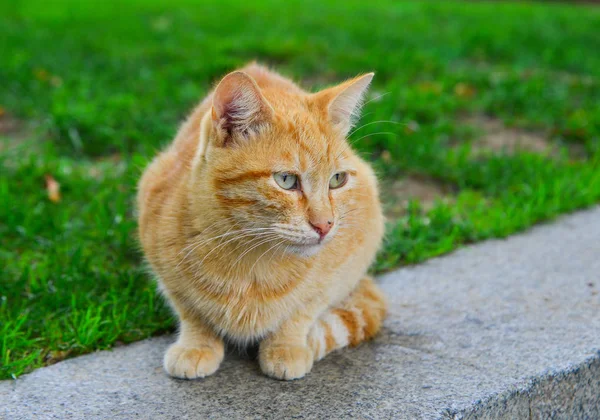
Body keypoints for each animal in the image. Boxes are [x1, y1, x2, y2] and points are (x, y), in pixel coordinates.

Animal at [138, 62, 386, 380]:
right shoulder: (160, 254)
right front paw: (197, 344)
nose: (325, 225)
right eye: (286, 180)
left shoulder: (344, 265)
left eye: (337, 180)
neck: (251, 261)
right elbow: (190, 310)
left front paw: (286, 346)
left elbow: (304, 309)